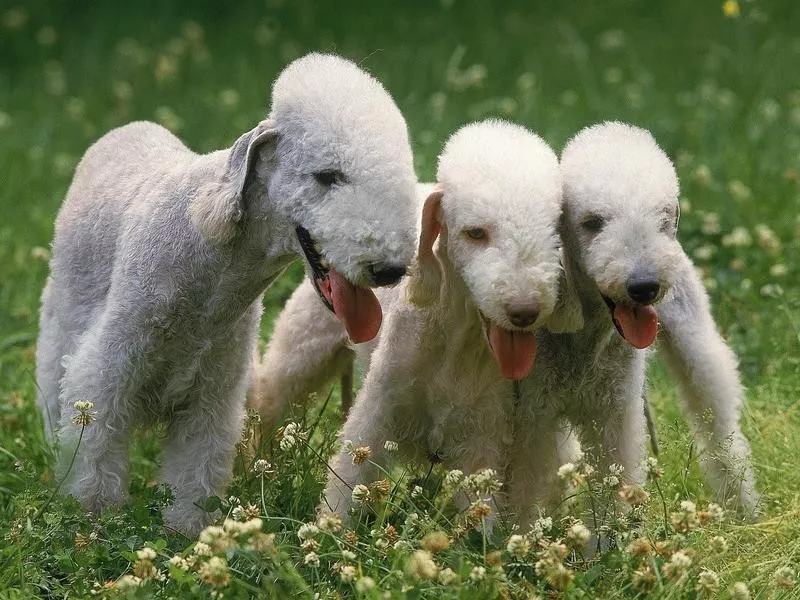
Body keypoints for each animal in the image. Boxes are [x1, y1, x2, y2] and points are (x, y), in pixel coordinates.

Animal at [34, 52, 416, 536]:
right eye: (327, 176)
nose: (390, 270)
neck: (213, 263)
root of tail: (124, 131)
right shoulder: (108, 372)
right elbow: (96, 453)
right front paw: (96, 520)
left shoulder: (214, 393)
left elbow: (195, 469)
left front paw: (187, 532)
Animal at [510, 122, 760, 524]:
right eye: (592, 223)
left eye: (662, 220)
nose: (644, 287)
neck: (585, 330)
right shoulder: (534, 412)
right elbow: (523, 487)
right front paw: (514, 536)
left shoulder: (615, 413)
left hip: (696, 343)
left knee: (721, 429)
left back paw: (745, 512)